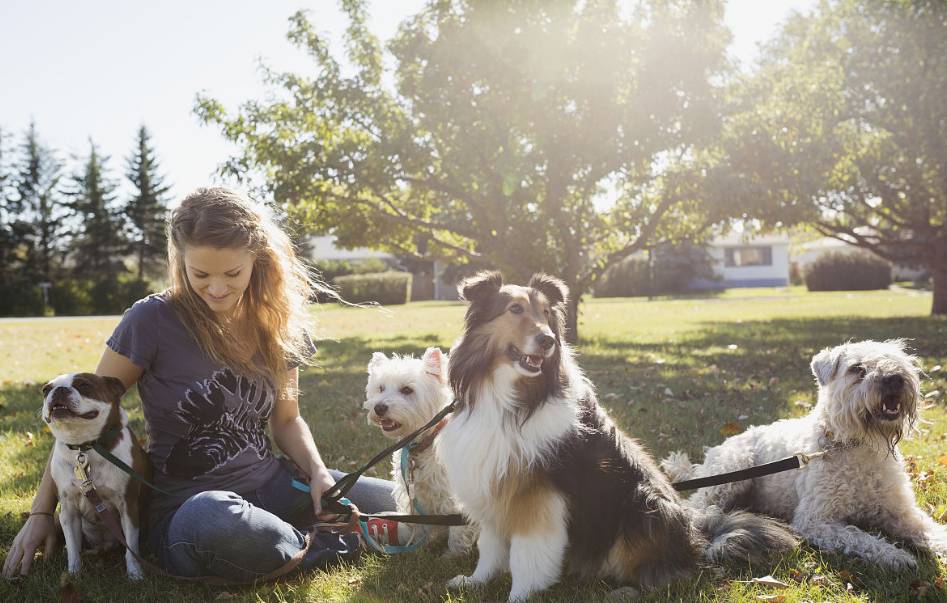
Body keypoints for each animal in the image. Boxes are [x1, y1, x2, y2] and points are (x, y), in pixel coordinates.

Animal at [43, 372, 151, 580]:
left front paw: (135, 574)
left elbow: (131, 546)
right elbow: (73, 548)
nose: (59, 390)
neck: (84, 448)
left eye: (84, 385)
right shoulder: (68, 509)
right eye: (46, 390)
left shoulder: (128, 505)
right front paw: (74, 573)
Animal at [364, 346, 478, 556]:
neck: (424, 442)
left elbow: (458, 529)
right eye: (381, 388)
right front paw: (416, 546)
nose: (379, 407)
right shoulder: (413, 494)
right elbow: (417, 523)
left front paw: (453, 554)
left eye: (407, 390)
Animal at [436, 274, 800, 603]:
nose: (547, 340)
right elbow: (490, 545)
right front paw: (476, 581)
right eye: (514, 309)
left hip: (643, 506)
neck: (511, 399)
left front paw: (520, 596)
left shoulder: (538, 495)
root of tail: (699, 536)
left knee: (665, 572)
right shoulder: (492, 483)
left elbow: (527, 554)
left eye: (545, 313)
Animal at [668, 340, 947, 572]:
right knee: (696, 505)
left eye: (896, 359)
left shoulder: (902, 512)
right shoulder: (816, 520)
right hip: (731, 472)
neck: (856, 447)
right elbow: (859, 536)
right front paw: (895, 555)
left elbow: (930, 530)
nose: (894, 378)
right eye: (857, 369)